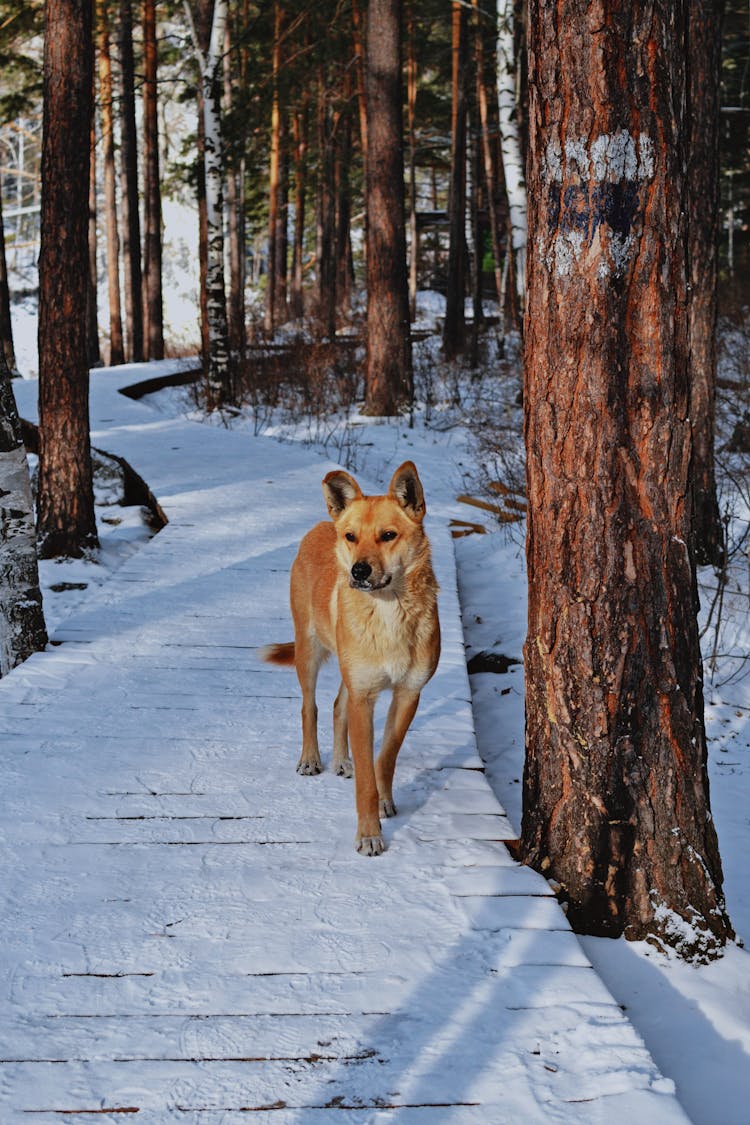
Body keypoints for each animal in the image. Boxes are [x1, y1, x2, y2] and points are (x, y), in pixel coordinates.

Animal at [263, 456, 440, 850]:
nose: (359, 570)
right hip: (309, 651)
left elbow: (385, 757)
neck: (390, 610)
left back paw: (342, 761)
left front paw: (384, 798)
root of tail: (322, 523)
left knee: (336, 705)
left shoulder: (407, 694)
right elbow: (365, 780)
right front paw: (370, 833)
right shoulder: (364, 697)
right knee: (309, 706)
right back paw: (311, 758)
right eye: (351, 537)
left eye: (388, 535)